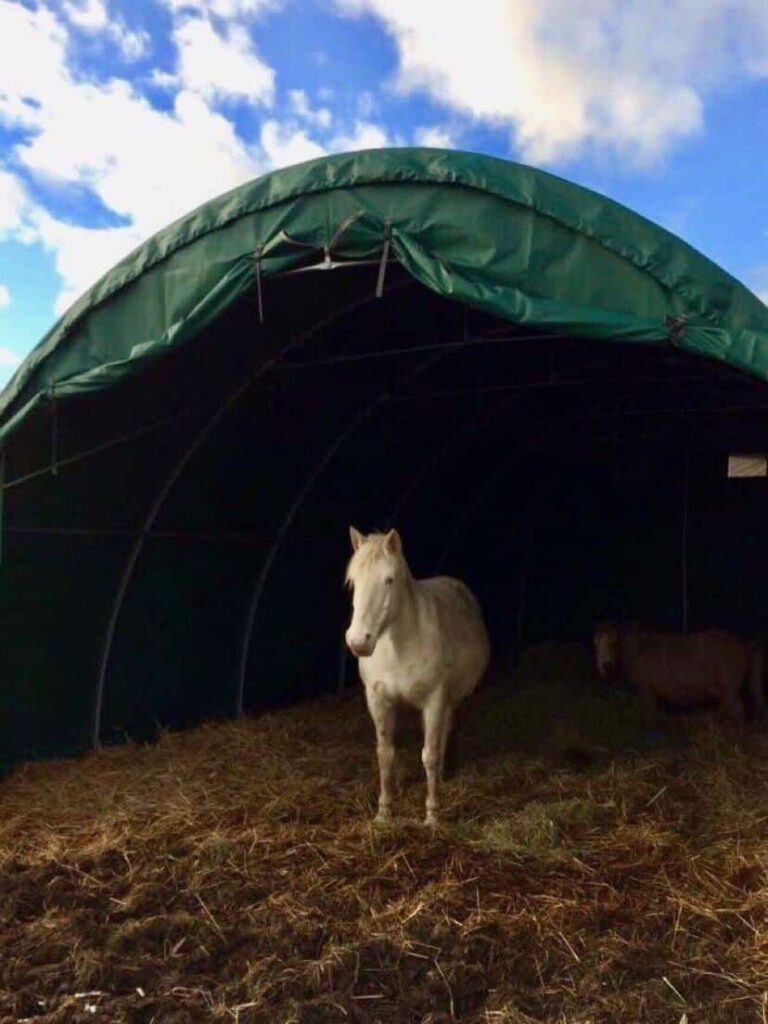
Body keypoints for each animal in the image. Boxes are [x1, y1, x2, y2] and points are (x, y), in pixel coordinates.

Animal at [344, 528, 489, 823]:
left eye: (389, 580)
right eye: (353, 582)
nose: (358, 641)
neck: (398, 647)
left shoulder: (434, 700)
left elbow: (429, 755)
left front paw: (432, 815)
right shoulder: (378, 701)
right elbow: (385, 754)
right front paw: (384, 812)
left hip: (450, 700)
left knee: (443, 733)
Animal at [593, 618, 765, 724]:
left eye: (615, 643)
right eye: (595, 644)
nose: (606, 666)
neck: (639, 649)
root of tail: (743, 642)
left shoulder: (646, 690)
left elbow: (649, 716)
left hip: (730, 690)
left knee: (738, 712)